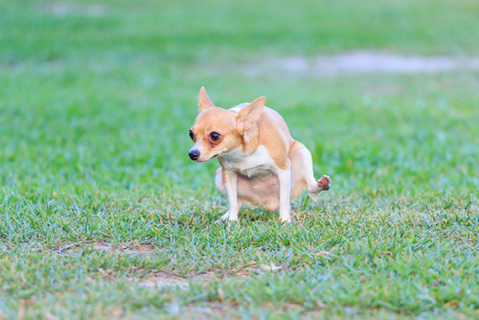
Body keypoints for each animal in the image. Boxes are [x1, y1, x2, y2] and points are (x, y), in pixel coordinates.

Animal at [189, 87, 332, 222]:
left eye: (214, 136)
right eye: (191, 134)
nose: (192, 154)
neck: (241, 154)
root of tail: (268, 201)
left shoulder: (283, 169)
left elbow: (284, 201)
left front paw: (285, 220)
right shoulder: (228, 174)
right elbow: (233, 202)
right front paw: (232, 221)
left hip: (303, 153)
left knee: (310, 189)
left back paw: (322, 184)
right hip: (219, 176)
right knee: (237, 202)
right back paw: (225, 217)